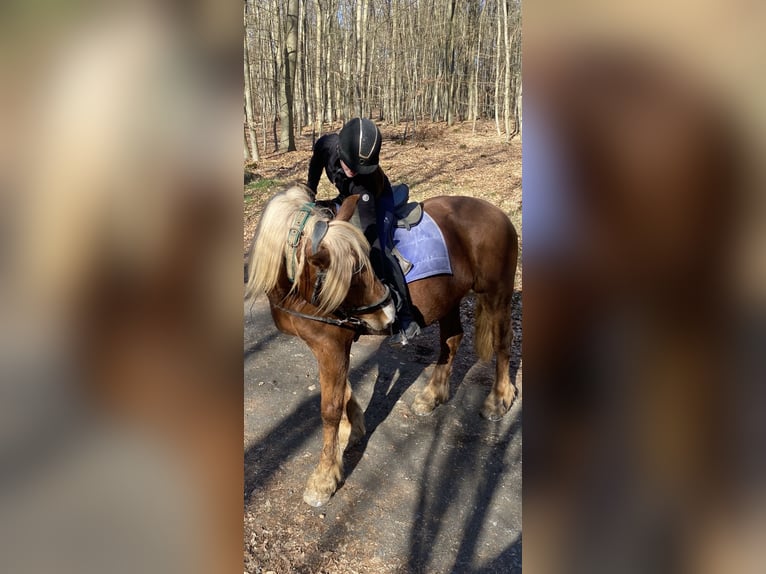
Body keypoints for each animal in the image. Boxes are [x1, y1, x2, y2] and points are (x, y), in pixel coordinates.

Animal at [245, 183, 518, 507]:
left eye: (365, 265)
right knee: (451, 339)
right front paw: (352, 430)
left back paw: (498, 399)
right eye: (352, 274)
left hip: (496, 295)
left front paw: (324, 478)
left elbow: (330, 407)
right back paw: (432, 395)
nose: (389, 312)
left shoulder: (331, 345)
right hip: (450, 298)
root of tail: (498, 213)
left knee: (503, 343)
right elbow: (344, 390)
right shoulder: (327, 345)